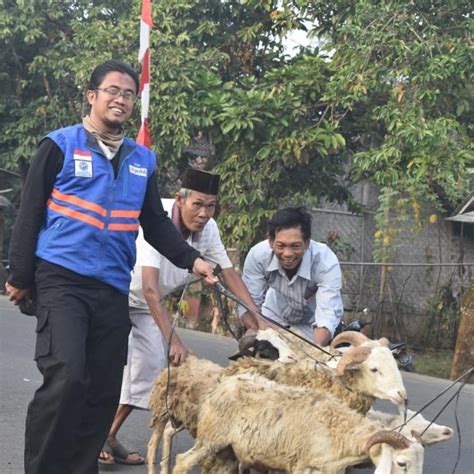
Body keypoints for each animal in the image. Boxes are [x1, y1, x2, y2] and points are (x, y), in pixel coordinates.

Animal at [146, 328, 296, 472]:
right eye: (263, 347)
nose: (292, 357)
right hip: (163, 408)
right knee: (153, 444)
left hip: (186, 416)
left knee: (168, 431)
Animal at [172, 374, 424, 474]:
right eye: (401, 463)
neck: (338, 432)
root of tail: (222, 384)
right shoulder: (303, 467)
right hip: (211, 438)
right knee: (182, 462)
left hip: (228, 450)